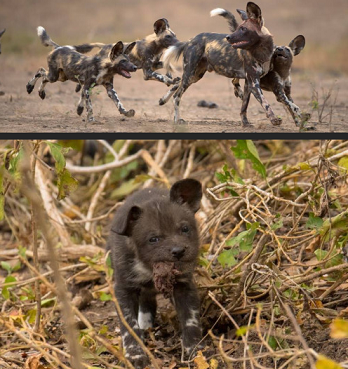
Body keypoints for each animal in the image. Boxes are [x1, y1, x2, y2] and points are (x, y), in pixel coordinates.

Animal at [107, 177, 203, 366]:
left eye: (185, 229)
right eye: (153, 239)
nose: (178, 251)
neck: (148, 268)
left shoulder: (183, 286)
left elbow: (191, 319)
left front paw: (195, 350)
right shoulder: (123, 290)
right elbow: (129, 326)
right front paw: (135, 354)